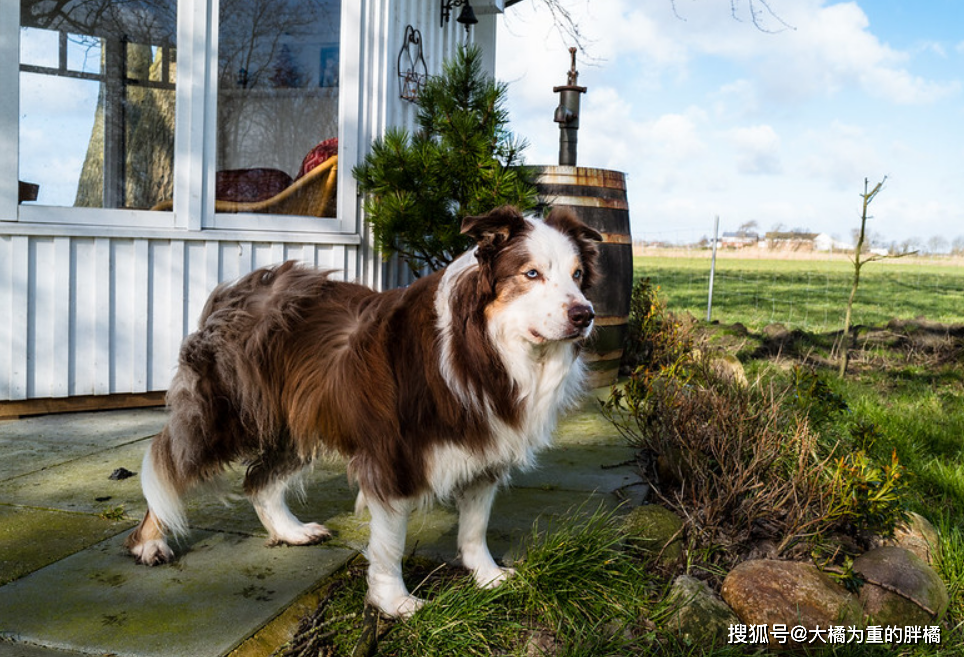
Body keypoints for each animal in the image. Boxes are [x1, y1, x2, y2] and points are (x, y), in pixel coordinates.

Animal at [124, 205, 600, 616]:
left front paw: (487, 576)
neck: (484, 349)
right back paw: (149, 541)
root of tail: (238, 290)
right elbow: (390, 543)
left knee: (258, 480)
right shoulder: (393, 457)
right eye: (531, 273)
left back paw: (290, 532)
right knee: (166, 461)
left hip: (295, 422)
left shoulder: (486, 447)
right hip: (221, 418)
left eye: (577, 275)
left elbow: (475, 525)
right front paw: (395, 603)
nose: (585, 315)